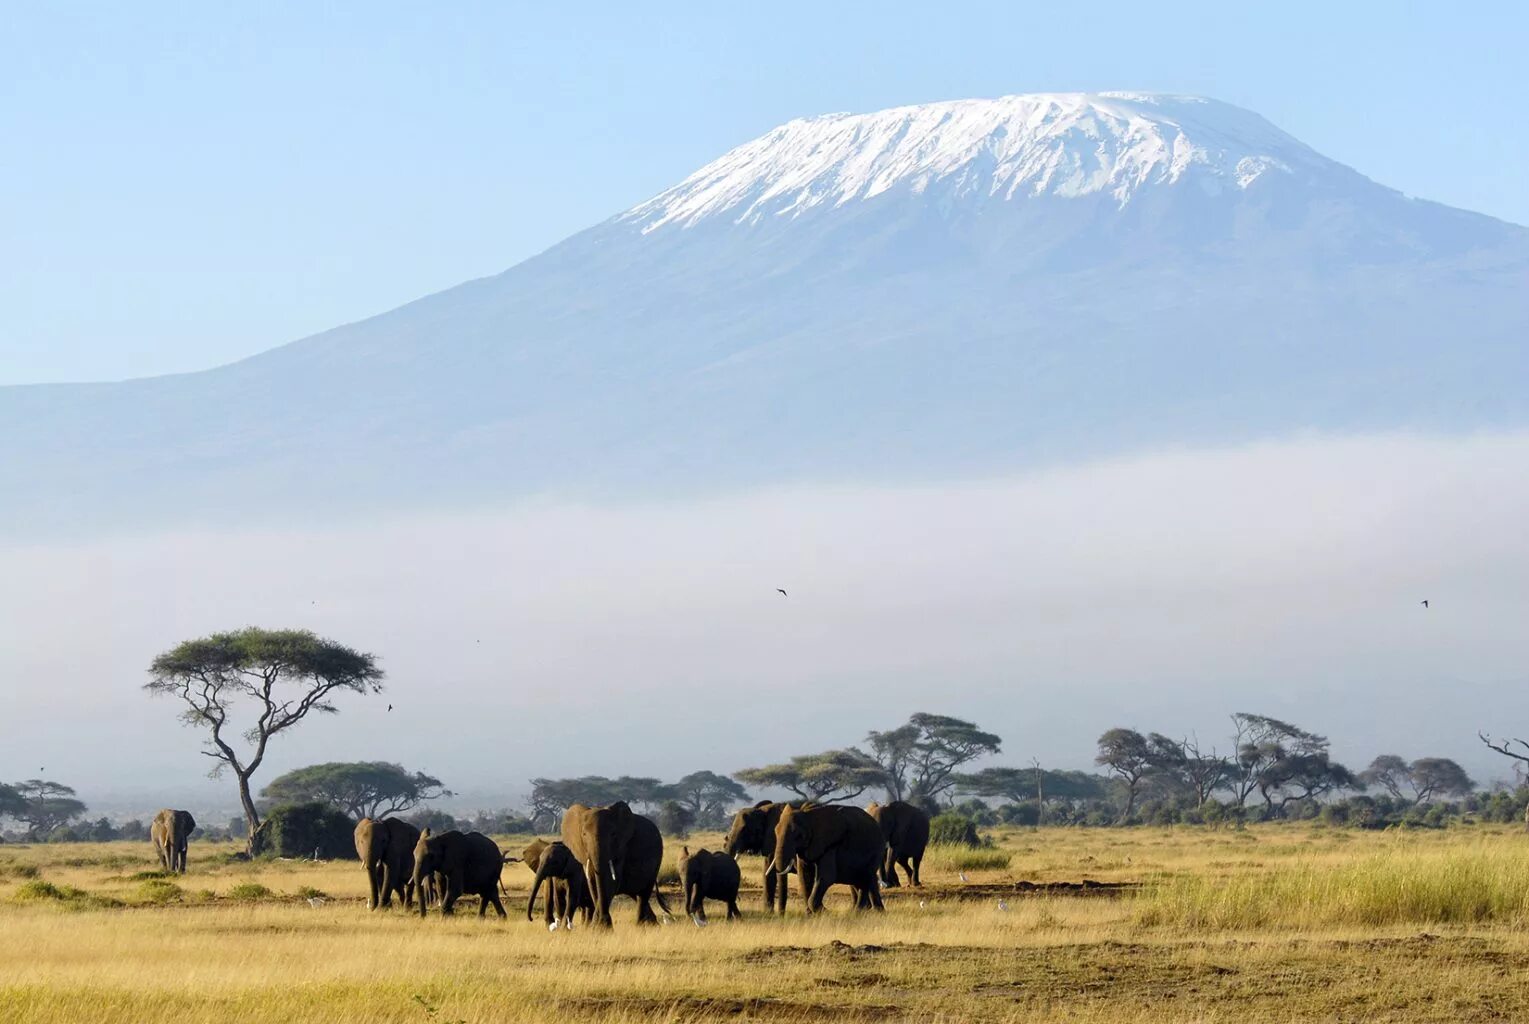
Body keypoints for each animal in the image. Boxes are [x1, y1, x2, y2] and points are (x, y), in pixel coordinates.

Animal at [559, 800, 672, 929]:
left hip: (657, 859)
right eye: (584, 834)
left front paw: (602, 927)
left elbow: (611, 882)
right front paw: (597, 926)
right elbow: (592, 882)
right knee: (636, 894)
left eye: (613, 834)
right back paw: (652, 924)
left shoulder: (621, 848)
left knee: (643, 894)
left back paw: (640, 925)